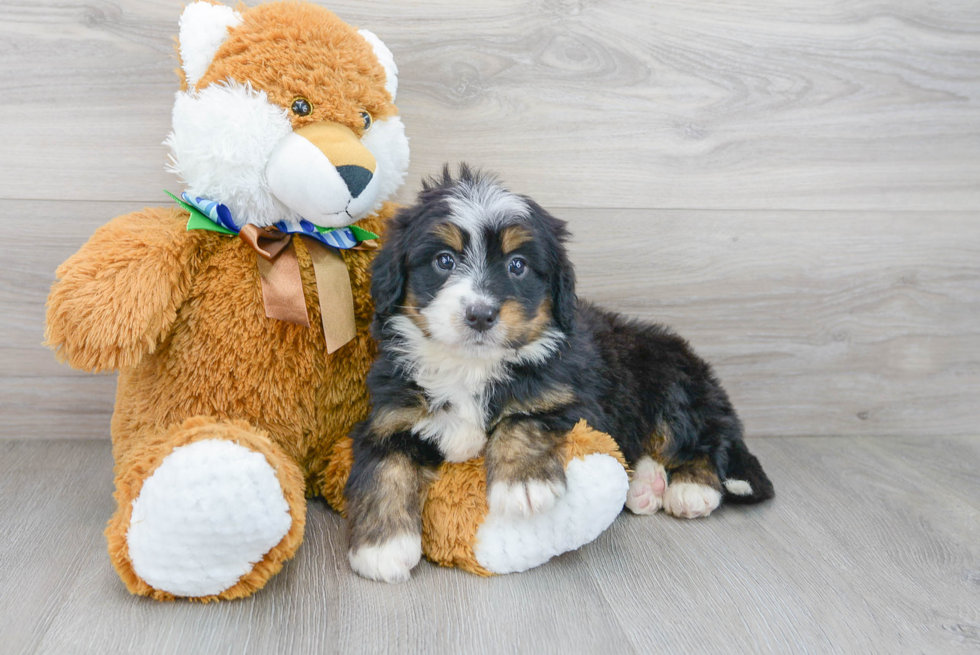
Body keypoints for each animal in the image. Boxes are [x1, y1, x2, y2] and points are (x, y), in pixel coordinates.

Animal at [344, 165, 772, 584]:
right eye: (444, 260)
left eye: (517, 265)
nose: (480, 314)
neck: (473, 366)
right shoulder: (391, 416)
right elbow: (385, 469)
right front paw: (382, 547)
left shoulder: (573, 398)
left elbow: (523, 418)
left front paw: (524, 485)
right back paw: (645, 485)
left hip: (671, 384)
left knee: (704, 444)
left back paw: (690, 489)